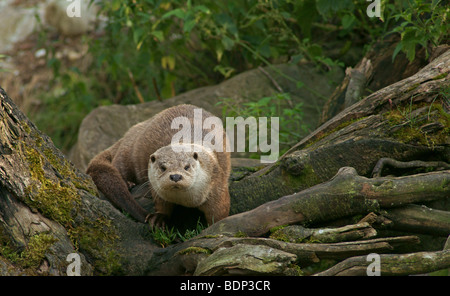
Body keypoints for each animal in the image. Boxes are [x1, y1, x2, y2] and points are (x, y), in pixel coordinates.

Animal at [85, 105, 230, 228]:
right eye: (163, 167)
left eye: (187, 167)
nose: (175, 176)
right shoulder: (155, 187)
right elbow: (161, 204)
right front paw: (159, 218)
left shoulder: (217, 185)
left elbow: (220, 211)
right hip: (127, 152)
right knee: (118, 165)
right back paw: (128, 182)